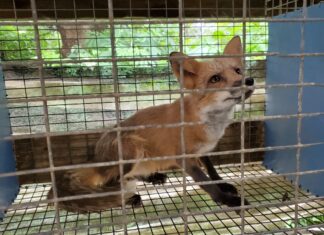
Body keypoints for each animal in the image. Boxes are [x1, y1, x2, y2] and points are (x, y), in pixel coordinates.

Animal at [48, 35, 256, 212]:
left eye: (238, 70)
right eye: (215, 79)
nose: (249, 80)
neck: (209, 122)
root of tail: (96, 157)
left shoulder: (202, 152)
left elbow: (213, 173)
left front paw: (223, 185)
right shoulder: (184, 157)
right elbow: (207, 184)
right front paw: (228, 201)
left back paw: (152, 177)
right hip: (132, 148)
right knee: (114, 182)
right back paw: (128, 198)